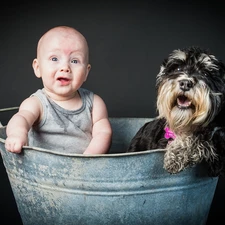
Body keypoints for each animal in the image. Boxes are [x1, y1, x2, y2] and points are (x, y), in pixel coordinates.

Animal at [127, 46, 225, 178]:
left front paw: (176, 154)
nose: (185, 83)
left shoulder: (219, 143)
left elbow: (199, 137)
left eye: (205, 73)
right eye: (178, 68)